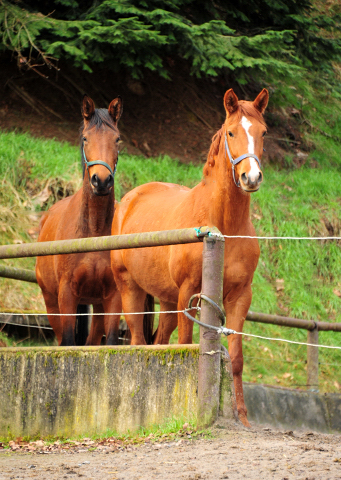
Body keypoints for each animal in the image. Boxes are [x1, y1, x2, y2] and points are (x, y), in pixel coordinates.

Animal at [35, 95, 123, 346]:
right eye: (85, 138)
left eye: (117, 139)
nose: (101, 181)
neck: (93, 231)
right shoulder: (67, 295)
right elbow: (68, 342)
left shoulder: (113, 296)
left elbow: (110, 343)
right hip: (51, 302)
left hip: (98, 305)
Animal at [111, 88, 268, 426]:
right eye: (231, 132)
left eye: (263, 132)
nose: (251, 177)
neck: (224, 227)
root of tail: (128, 200)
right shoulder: (189, 292)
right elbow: (186, 345)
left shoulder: (240, 297)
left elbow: (237, 358)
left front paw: (242, 417)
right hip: (130, 289)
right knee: (138, 342)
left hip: (167, 300)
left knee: (157, 343)